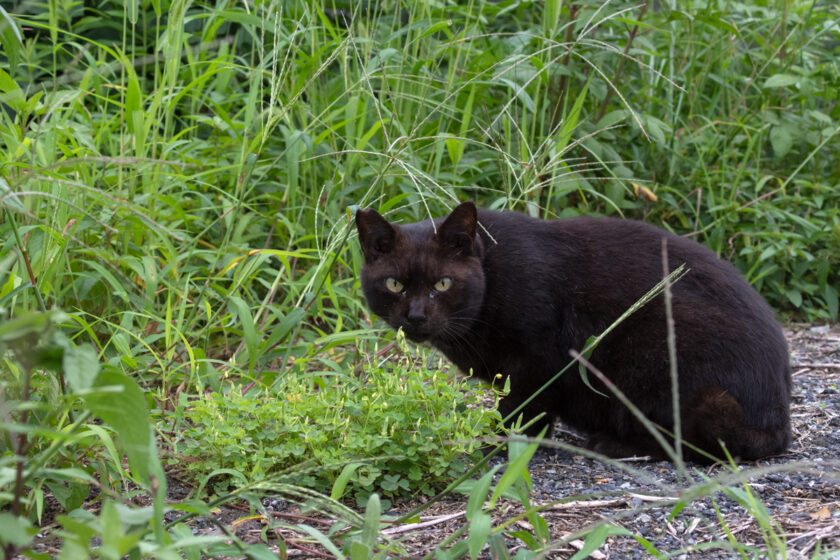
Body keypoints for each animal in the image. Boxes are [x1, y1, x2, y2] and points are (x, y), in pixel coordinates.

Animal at [354, 199, 788, 462]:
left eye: (442, 284)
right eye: (395, 284)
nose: (416, 316)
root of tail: (778, 416)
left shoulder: (541, 356)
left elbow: (521, 408)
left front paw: (500, 444)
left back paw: (613, 443)